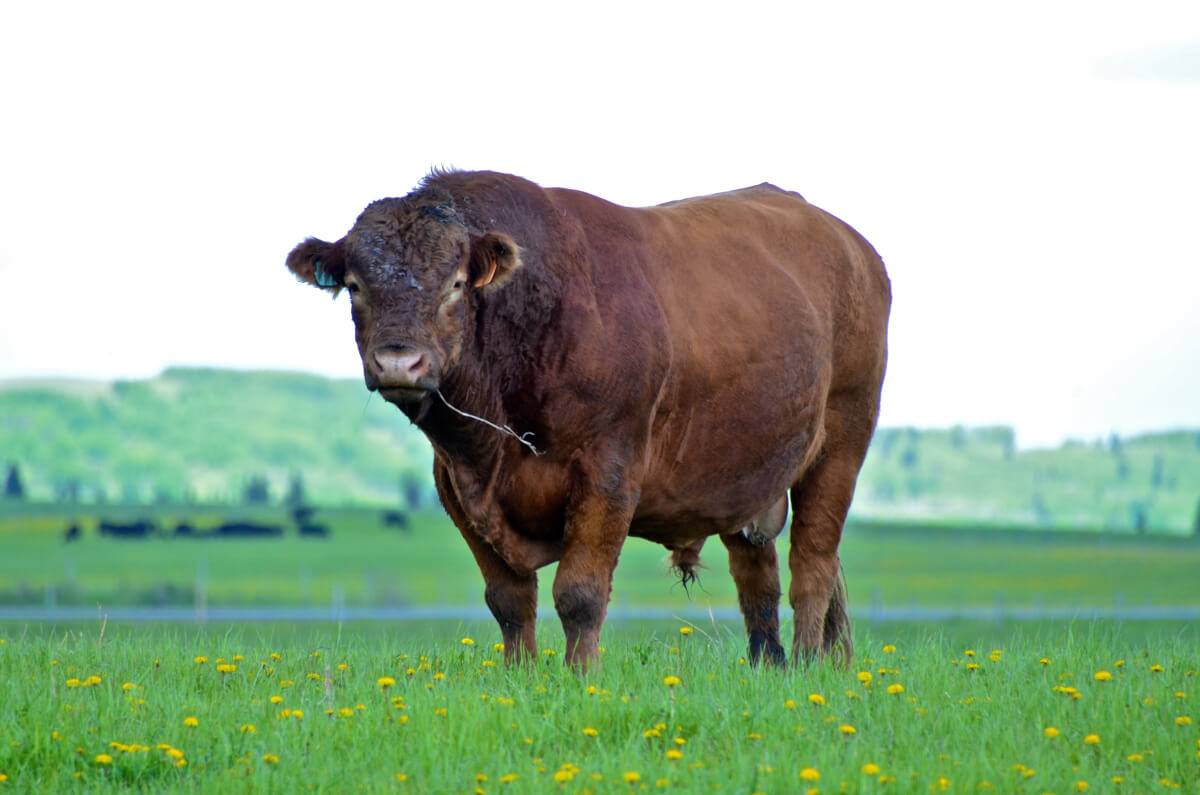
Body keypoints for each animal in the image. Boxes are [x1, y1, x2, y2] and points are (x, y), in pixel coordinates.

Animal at [285, 169, 892, 672]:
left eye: (455, 284)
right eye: (355, 286)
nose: (398, 362)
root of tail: (851, 242)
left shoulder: (608, 472)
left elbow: (579, 594)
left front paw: (583, 679)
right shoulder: (456, 484)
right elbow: (509, 599)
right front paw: (521, 679)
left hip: (841, 444)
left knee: (813, 565)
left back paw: (809, 664)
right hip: (748, 472)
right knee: (759, 578)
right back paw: (773, 666)